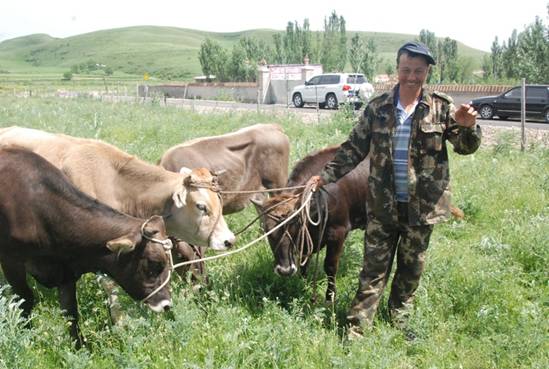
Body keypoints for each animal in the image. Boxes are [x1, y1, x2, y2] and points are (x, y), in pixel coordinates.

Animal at [0, 145, 172, 344]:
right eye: (154, 263)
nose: (167, 305)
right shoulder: (11, 261)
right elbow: (25, 300)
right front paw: (26, 337)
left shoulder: (66, 273)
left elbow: (71, 313)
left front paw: (79, 346)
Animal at [254, 145, 368, 304]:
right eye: (267, 232)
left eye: (294, 227)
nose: (285, 271)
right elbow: (304, 259)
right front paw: (302, 283)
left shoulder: (338, 233)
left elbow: (330, 266)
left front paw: (330, 297)